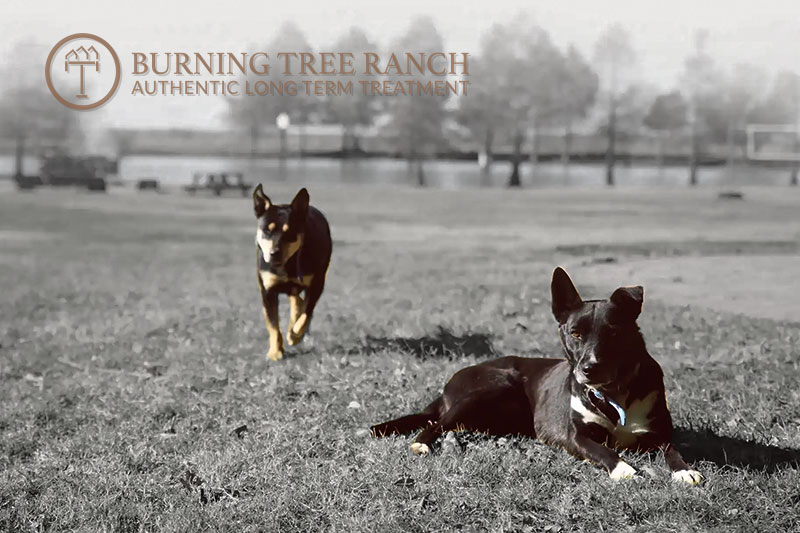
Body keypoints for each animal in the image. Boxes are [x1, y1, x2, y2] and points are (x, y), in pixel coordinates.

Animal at [372, 268, 704, 484]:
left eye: (613, 333)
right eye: (575, 333)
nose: (588, 369)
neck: (612, 393)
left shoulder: (659, 433)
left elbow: (673, 449)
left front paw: (684, 470)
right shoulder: (577, 436)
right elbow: (603, 450)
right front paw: (623, 469)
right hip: (492, 386)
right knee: (435, 424)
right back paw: (423, 444)